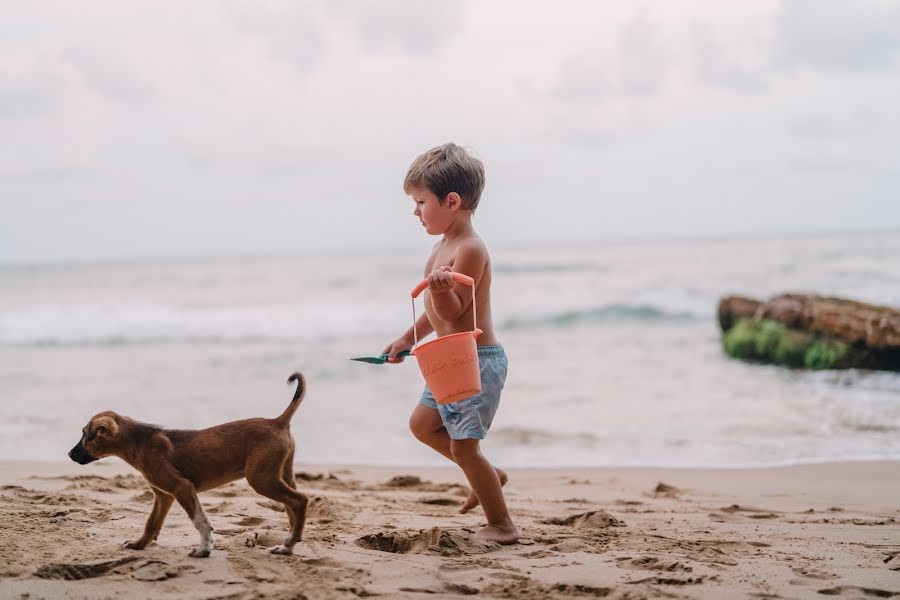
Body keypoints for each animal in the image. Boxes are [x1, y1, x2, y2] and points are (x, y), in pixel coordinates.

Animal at [68, 372, 308, 556]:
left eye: (86, 435)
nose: (69, 455)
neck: (139, 442)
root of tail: (278, 422)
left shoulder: (181, 487)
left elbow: (199, 521)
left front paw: (203, 550)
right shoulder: (163, 496)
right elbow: (151, 523)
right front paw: (138, 544)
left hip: (261, 479)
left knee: (300, 501)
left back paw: (289, 543)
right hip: (282, 475)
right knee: (292, 507)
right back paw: (288, 546)